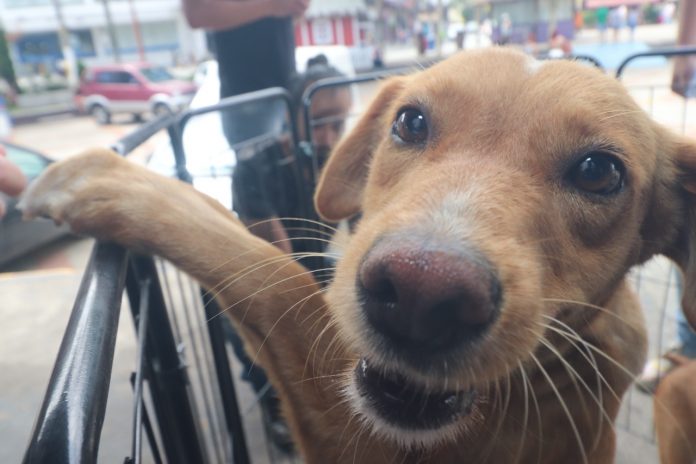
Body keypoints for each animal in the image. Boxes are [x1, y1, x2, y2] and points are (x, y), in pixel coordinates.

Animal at [17, 49, 696, 462]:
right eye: (410, 122)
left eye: (600, 172)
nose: (422, 293)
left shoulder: (348, 435)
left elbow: (275, 277)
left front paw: (104, 180)